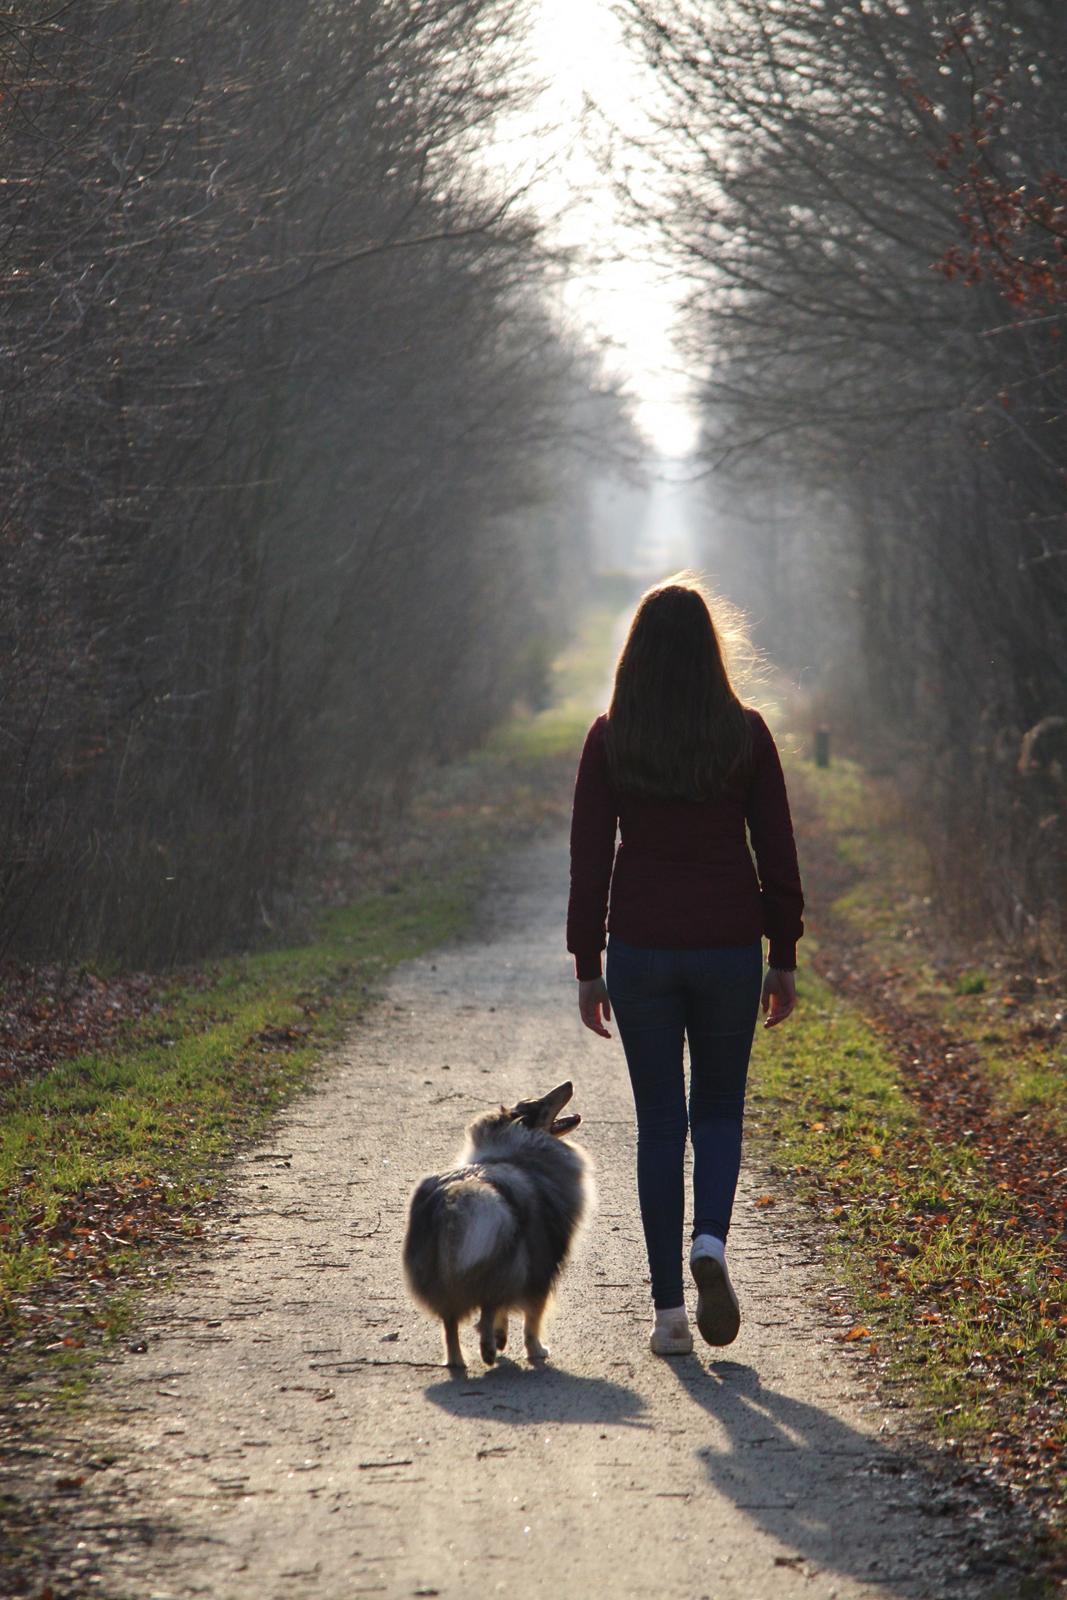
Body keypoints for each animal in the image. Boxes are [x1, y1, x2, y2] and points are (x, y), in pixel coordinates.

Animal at [404, 1081, 598, 1369]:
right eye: (540, 1104)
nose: (569, 1084)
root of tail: (457, 1199)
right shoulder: (540, 1269)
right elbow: (531, 1320)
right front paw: (536, 1349)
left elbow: (505, 1314)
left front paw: (502, 1336)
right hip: (511, 1267)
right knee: (489, 1308)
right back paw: (488, 1350)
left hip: (443, 1277)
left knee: (451, 1324)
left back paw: (458, 1360)